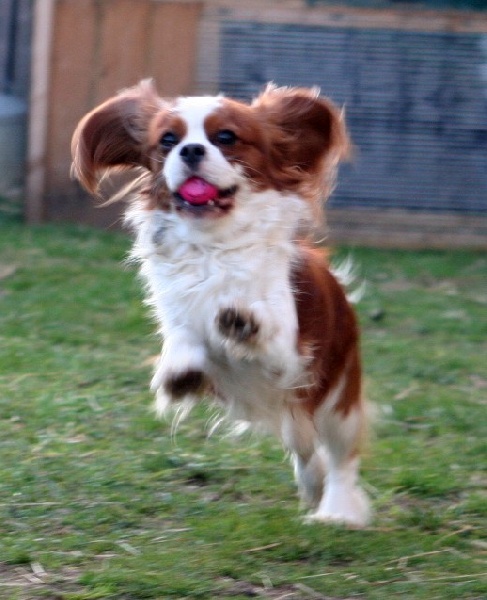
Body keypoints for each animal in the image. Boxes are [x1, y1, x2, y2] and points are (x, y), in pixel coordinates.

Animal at [71, 79, 370, 524]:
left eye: (226, 137)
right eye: (168, 140)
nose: (191, 150)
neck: (213, 243)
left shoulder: (291, 355)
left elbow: (266, 330)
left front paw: (242, 322)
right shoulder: (177, 312)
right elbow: (184, 340)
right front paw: (179, 372)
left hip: (336, 397)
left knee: (339, 457)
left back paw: (337, 511)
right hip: (296, 416)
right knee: (303, 448)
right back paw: (311, 484)